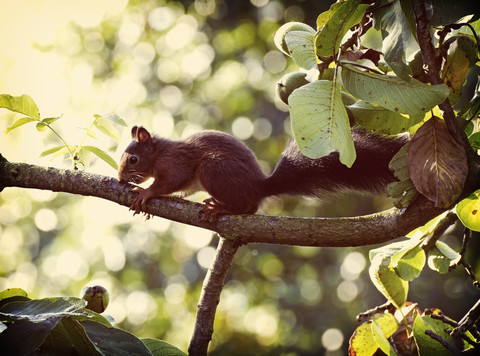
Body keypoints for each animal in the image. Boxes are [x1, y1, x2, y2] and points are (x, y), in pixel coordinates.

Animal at [118, 124, 406, 220]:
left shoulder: (175, 164)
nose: (120, 178)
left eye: (133, 159)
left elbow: (169, 183)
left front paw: (145, 192)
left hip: (213, 168)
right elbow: (181, 191)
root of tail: (260, 186)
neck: (159, 154)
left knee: (248, 206)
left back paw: (220, 207)